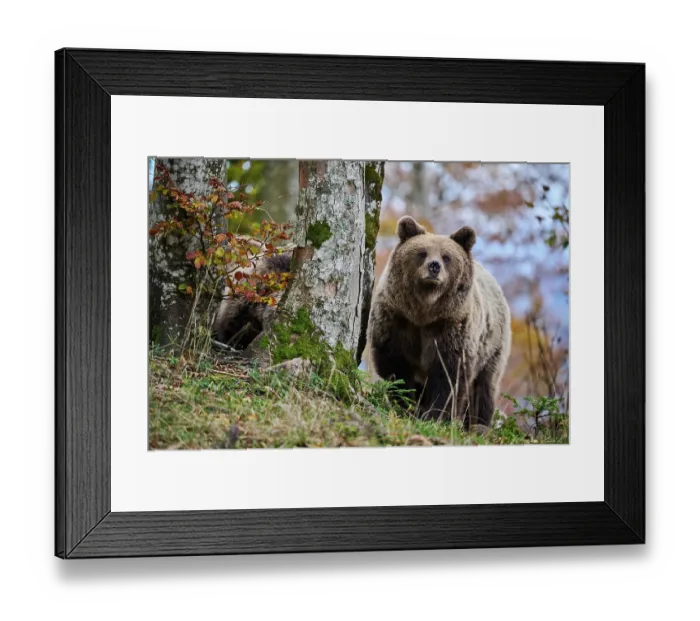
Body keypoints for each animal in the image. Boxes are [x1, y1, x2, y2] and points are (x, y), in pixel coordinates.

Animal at [367, 215, 511, 434]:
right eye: (422, 252)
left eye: (446, 256)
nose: (434, 266)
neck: (424, 312)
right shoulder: (396, 320)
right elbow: (396, 366)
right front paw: (405, 405)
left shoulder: (450, 328)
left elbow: (449, 377)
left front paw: (436, 416)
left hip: (492, 346)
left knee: (484, 386)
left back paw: (478, 424)